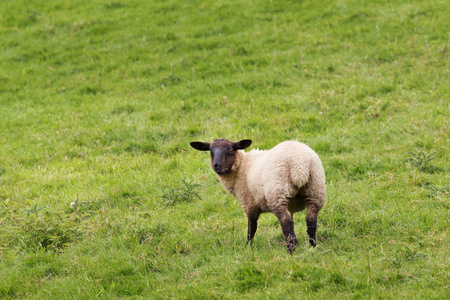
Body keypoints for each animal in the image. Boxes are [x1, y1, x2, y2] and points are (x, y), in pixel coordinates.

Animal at [190, 139, 326, 253]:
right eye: (210, 151)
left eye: (229, 149)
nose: (216, 166)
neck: (242, 168)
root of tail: (299, 164)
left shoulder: (249, 203)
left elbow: (252, 226)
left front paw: (247, 246)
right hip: (315, 190)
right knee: (310, 218)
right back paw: (312, 245)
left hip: (277, 194)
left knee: (285, 221)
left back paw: (291, 250)